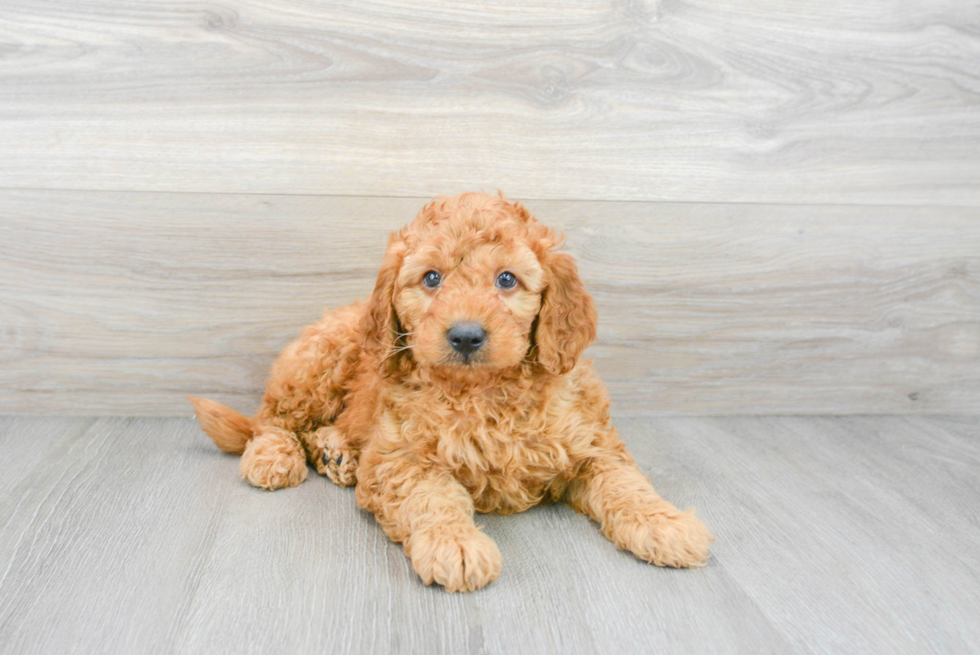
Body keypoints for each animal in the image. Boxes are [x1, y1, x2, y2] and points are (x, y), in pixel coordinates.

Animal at [191, 192, 712, 592]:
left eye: (506, 279)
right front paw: (455, 545)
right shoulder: (401, 460)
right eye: (431, 278)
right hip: (317, 362)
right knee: (272, 419)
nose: (465, 335)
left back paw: (336, 452)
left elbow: (625, 483)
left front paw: (665, 524)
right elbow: (431, 496)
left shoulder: (593, 442)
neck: (483, 392)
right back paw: (275, 456)